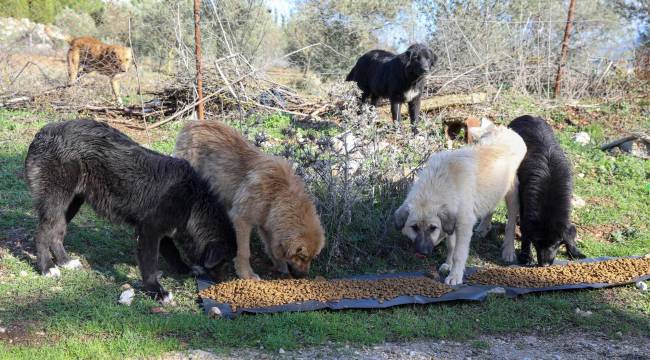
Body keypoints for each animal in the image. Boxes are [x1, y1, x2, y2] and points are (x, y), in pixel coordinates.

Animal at [27, 119, 238, 302]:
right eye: (226, 261)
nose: (226, 284)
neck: (192, 202)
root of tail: (44, 132)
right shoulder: (149, 231)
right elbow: (150, 264)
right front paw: (156, 291)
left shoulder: (165, 230)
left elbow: (173, 253)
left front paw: (184, 269)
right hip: (56, 201)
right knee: (42, 233)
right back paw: (46, 268)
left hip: (71, 203)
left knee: (57, 233)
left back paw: (65, 261)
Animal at [173, 119, 324, 280]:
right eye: (301, 256)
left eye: (312, 258)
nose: (303, 276)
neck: (278, 194)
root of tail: (193, 123)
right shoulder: (242, 220)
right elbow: (245, 251)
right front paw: (246, 273)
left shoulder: (267, 222)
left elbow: (271, 246)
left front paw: (279, 264)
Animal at [392, 120, 524, 284]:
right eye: (414, 227)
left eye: (433, 228)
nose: (423, 252)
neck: (440, 183)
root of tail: (507, 130)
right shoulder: (451, 220)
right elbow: (451, 245)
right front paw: (448, 264)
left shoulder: (464, 224)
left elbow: (459, 253)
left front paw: (455, 275)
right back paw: (483, 227)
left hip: (512, 194)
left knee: (510, 224)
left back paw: (508, 251)